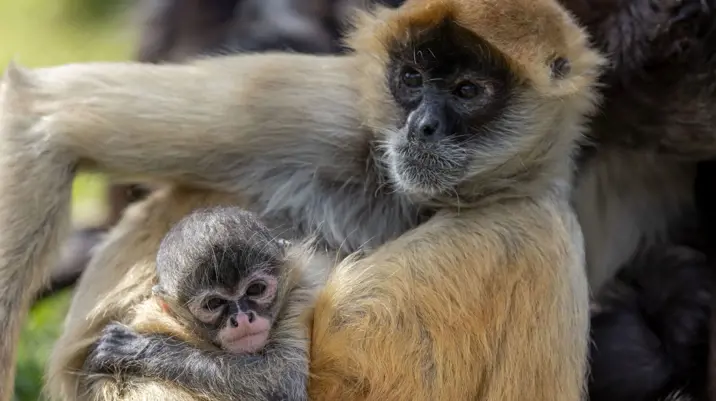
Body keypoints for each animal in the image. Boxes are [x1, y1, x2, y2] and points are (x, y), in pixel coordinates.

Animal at [80, 206, 329, 401]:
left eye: (255, 289)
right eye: (214, 303)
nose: (242, 318)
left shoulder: (302, 290)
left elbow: (282, 381)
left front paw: (140, 349)